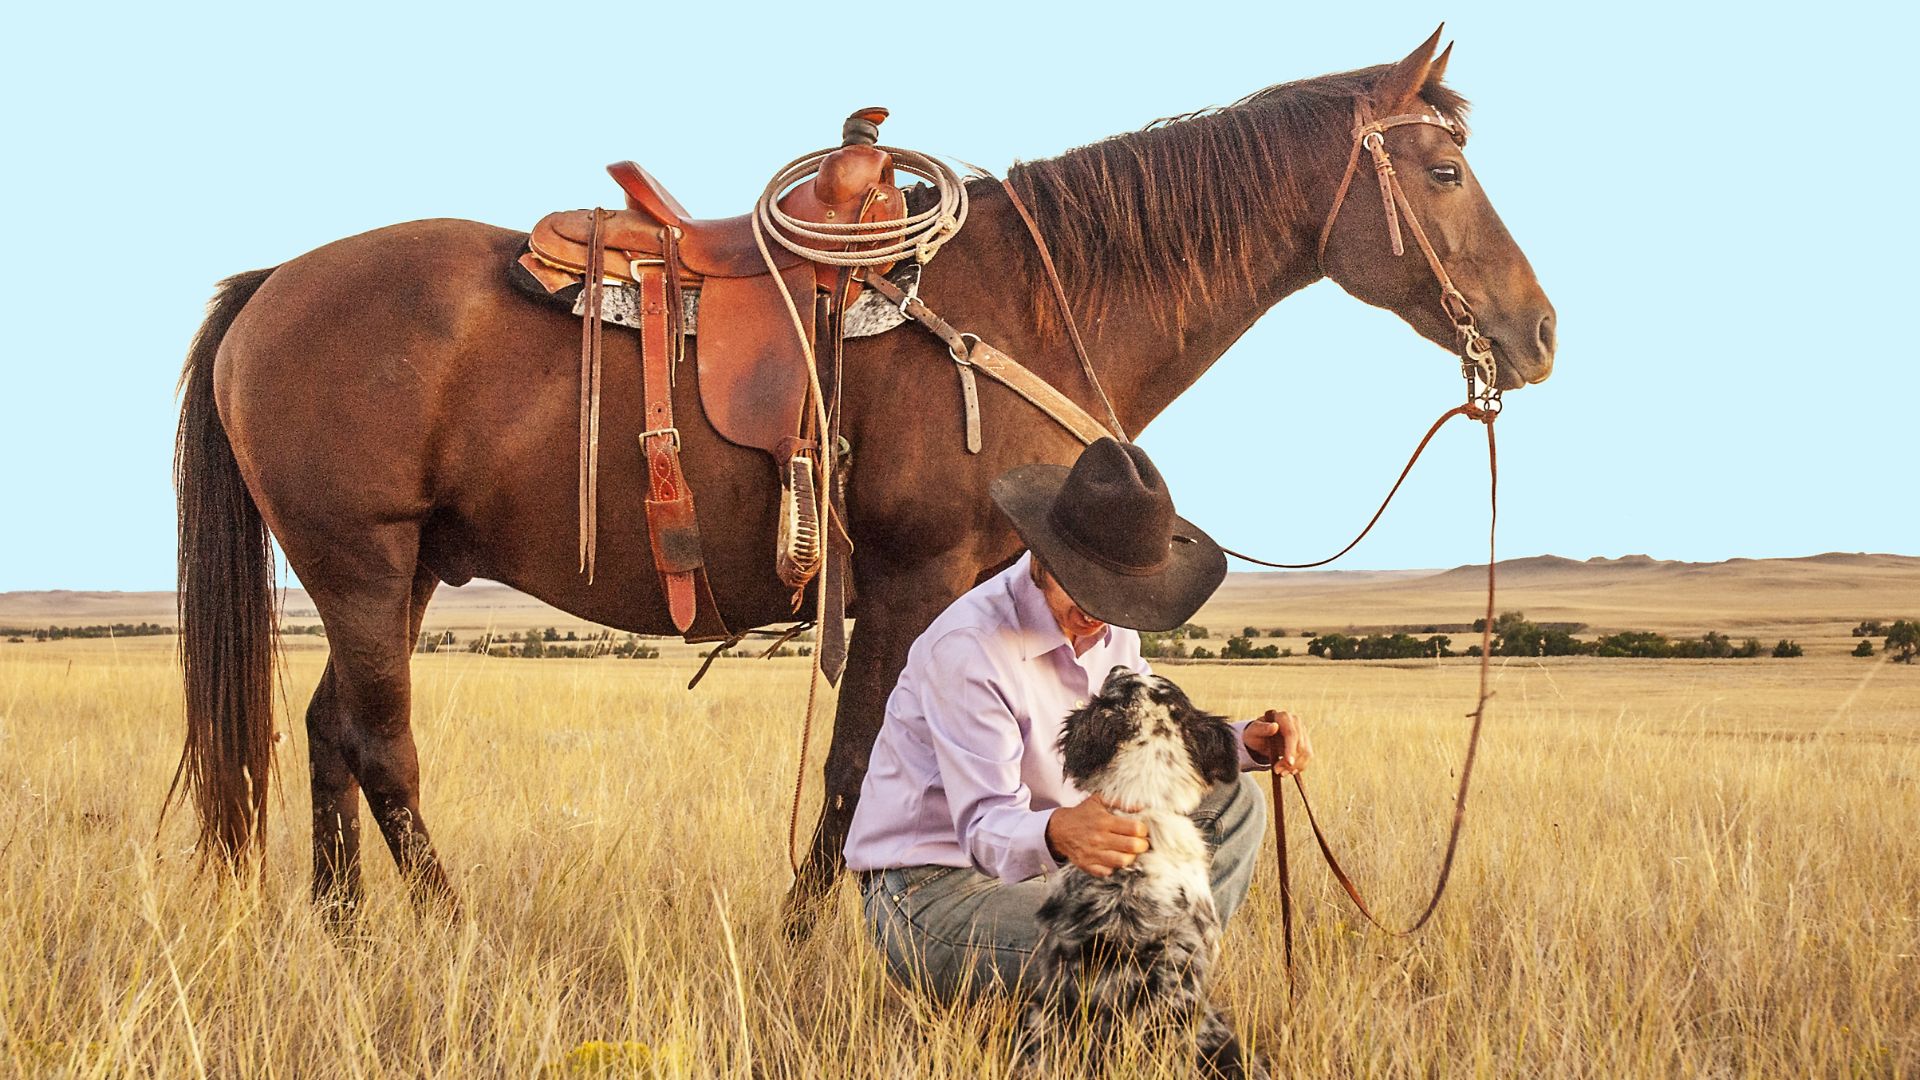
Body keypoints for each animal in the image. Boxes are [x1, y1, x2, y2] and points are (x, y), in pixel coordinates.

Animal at [171, 29, 1555, 924]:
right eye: (1443, 172)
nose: (1538, 332)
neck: (1025, 304)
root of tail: (274, 284)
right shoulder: (906, 575)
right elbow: (855, 764)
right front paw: (806, 939)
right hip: (360, 563)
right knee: (383, 747)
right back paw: (445, 926)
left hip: (393, 575)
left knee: (331, 734)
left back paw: (346, 932)